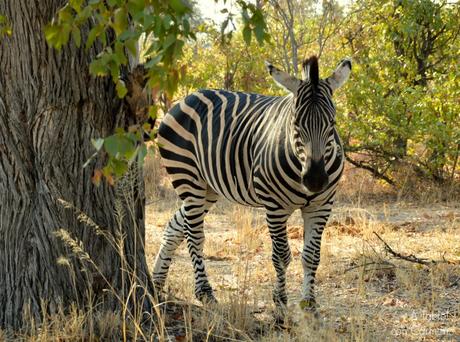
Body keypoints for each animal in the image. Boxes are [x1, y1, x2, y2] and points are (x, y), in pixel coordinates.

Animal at [153, 55, 350, 312]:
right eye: (295, 123)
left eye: (332, 122)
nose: (315, 179)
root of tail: (187, 98)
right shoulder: (275, 207)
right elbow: (281, 256)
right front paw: (280, 304)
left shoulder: (321, 205)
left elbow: (311, 256)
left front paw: (309, 305)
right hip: (188, 177)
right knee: (193, 234)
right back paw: (205, 293)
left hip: (208, 188)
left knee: (175, 226)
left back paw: (156, 283)